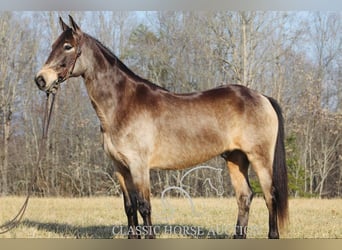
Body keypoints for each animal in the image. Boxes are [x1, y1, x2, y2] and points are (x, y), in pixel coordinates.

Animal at [34, 15, 288, 238]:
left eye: (67, 46)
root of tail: (262, 97)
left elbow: (144, 206)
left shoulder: (139, 166)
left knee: (270, 197)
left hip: (259, 158)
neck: (123, 104)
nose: (41, 79)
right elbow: (129, 208)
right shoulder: (120, 167)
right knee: (245, 197)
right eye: (53, 45)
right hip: (236, 158)